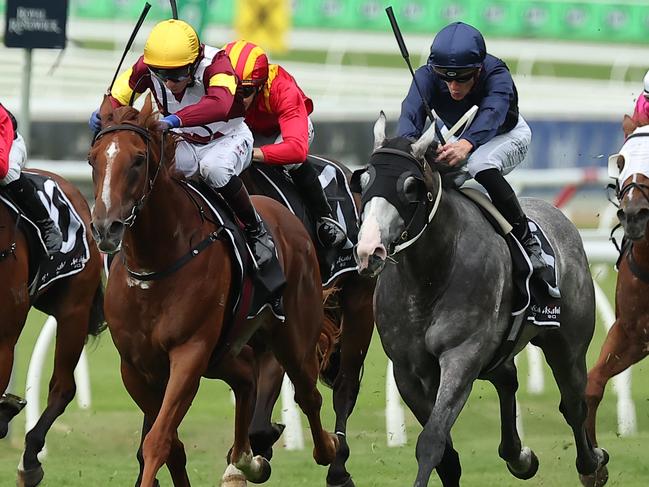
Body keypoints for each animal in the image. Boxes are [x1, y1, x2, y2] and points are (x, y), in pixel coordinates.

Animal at [90, 96, 340, 487]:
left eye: (138, 159)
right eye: (93, 159)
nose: (105, 227)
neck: (156, 263)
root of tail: (287, 218)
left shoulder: (189, 353)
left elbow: (158, 440)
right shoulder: (136, 367)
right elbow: (169, 444)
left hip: (293, 334)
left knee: (308, 394)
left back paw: (326, 448)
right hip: (224, 352)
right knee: (248, 375)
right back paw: (246, 460)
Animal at [350, 113, 608, 487]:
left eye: (410, 186)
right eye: (365, 179)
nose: (369, 250)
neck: (429, 277)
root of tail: (559, 215)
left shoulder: (462, 355)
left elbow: (432, 440)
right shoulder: (407, 370)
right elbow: (446, 455)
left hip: (568, 344)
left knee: (573, 404)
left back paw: (592, 463)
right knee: (508, 379)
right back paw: (519, 456)